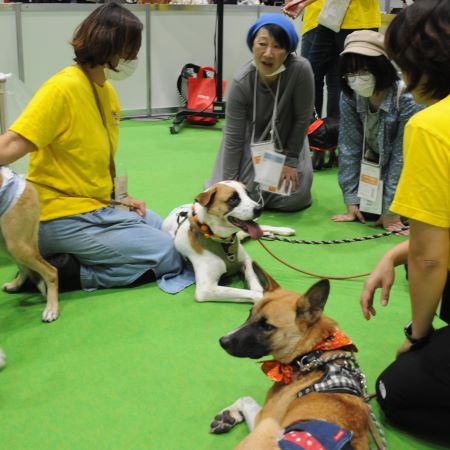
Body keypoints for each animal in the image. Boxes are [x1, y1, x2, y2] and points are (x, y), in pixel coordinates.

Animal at [0, 167, 59, 322]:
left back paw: (51, 309)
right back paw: (14, 285)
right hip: (7, 244)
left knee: (51, 272)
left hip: (17, 244)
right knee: (25, 268)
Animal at [162, 181, 296, 304]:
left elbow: (251, 275)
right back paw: (269, 234)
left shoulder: (246, 259)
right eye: (233, 199)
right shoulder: (206, 289)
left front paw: (257, 287)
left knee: (261, 227)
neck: (224, 241)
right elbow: (252, 293)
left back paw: (284, 230)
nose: (260, 208)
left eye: (248, 194)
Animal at [211, 268, 370, 450]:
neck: (310, 355)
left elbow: (246, 399)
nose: (223, 341)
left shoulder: (263, 419)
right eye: (250, 314)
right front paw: (227, 416)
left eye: (267, 326)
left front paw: (230, 413)